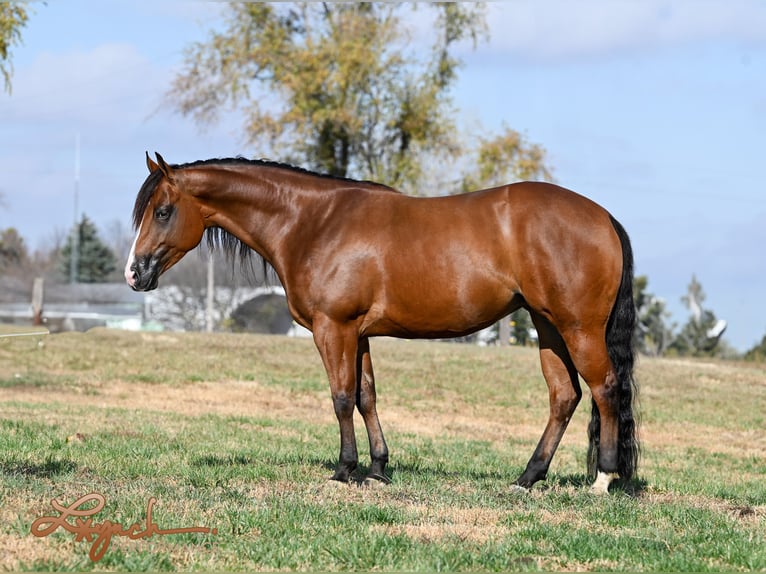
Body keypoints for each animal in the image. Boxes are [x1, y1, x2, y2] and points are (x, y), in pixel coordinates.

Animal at [127, 153, 640, 496]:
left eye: (163, 211)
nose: (135, 273)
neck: (314, 222)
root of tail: (604, 217)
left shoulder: (333, 328)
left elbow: (340, 397)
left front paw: (343, 470)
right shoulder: (359, 334)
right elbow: (365, 396)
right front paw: (376, 468)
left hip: (577, 328)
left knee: (605, 388)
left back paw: (603, 479)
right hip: (547, 326)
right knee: (564, 396)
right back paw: (527, 478)